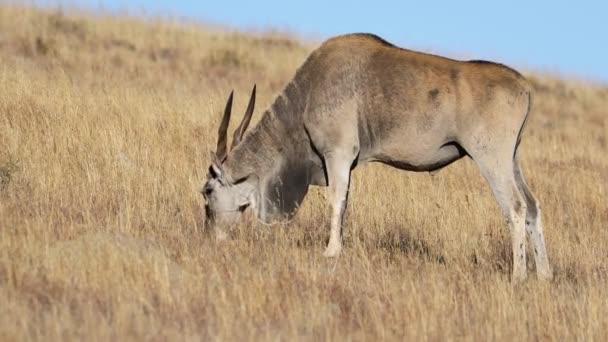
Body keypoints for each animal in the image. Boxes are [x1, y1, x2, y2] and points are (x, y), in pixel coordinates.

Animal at [201, 32, 552, 284]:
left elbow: (336, 201)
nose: (210, 236)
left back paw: (518, 277)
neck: (309, 92)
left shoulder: (338, 154)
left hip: (491, 159)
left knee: (515, 207)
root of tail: (523, 86)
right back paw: (545, 275)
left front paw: (331, 252)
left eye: (207, 191)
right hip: (512, 159)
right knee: (533, 206)